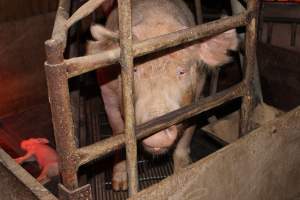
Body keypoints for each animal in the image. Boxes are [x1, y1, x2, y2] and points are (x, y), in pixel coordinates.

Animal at [86, 0, 239, 191]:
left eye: (181, 71)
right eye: (135, 70)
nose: (157, 133)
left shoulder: (197, 96)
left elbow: (187, 134)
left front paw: (183, 173)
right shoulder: (107, 94)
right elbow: (118, 131)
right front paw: (119, 185)